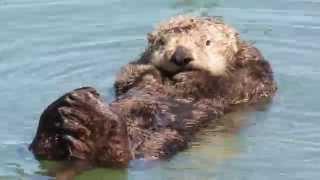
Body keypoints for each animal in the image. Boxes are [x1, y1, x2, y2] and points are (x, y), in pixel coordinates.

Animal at [28, 16, 276, 168]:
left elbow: (230, 83)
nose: (181, 56)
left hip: (161, 142)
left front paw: (191, 77)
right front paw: (149, 73)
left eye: (207, 42)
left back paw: (96, 128)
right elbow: (129, 77)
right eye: (163, 42)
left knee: (124, 157)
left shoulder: (255, 76)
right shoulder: (131, 71)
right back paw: (63, 116)